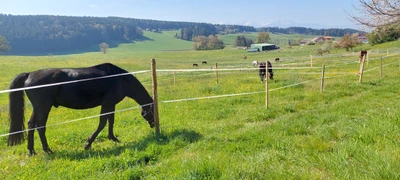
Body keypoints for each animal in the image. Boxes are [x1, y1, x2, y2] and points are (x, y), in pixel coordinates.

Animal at [8, 63, 155, 155]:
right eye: (153, 111)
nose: (154, 124)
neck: (119, 79)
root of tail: (29, 74)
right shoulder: (107, 103)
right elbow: (102, 123)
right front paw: (88, 144)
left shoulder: (111, 104)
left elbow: (110, 121)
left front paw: (113, 138)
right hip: (44, 107)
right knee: (40, 126)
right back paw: (47, 150)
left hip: (38, 108)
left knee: (31, 125)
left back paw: (31, 150)